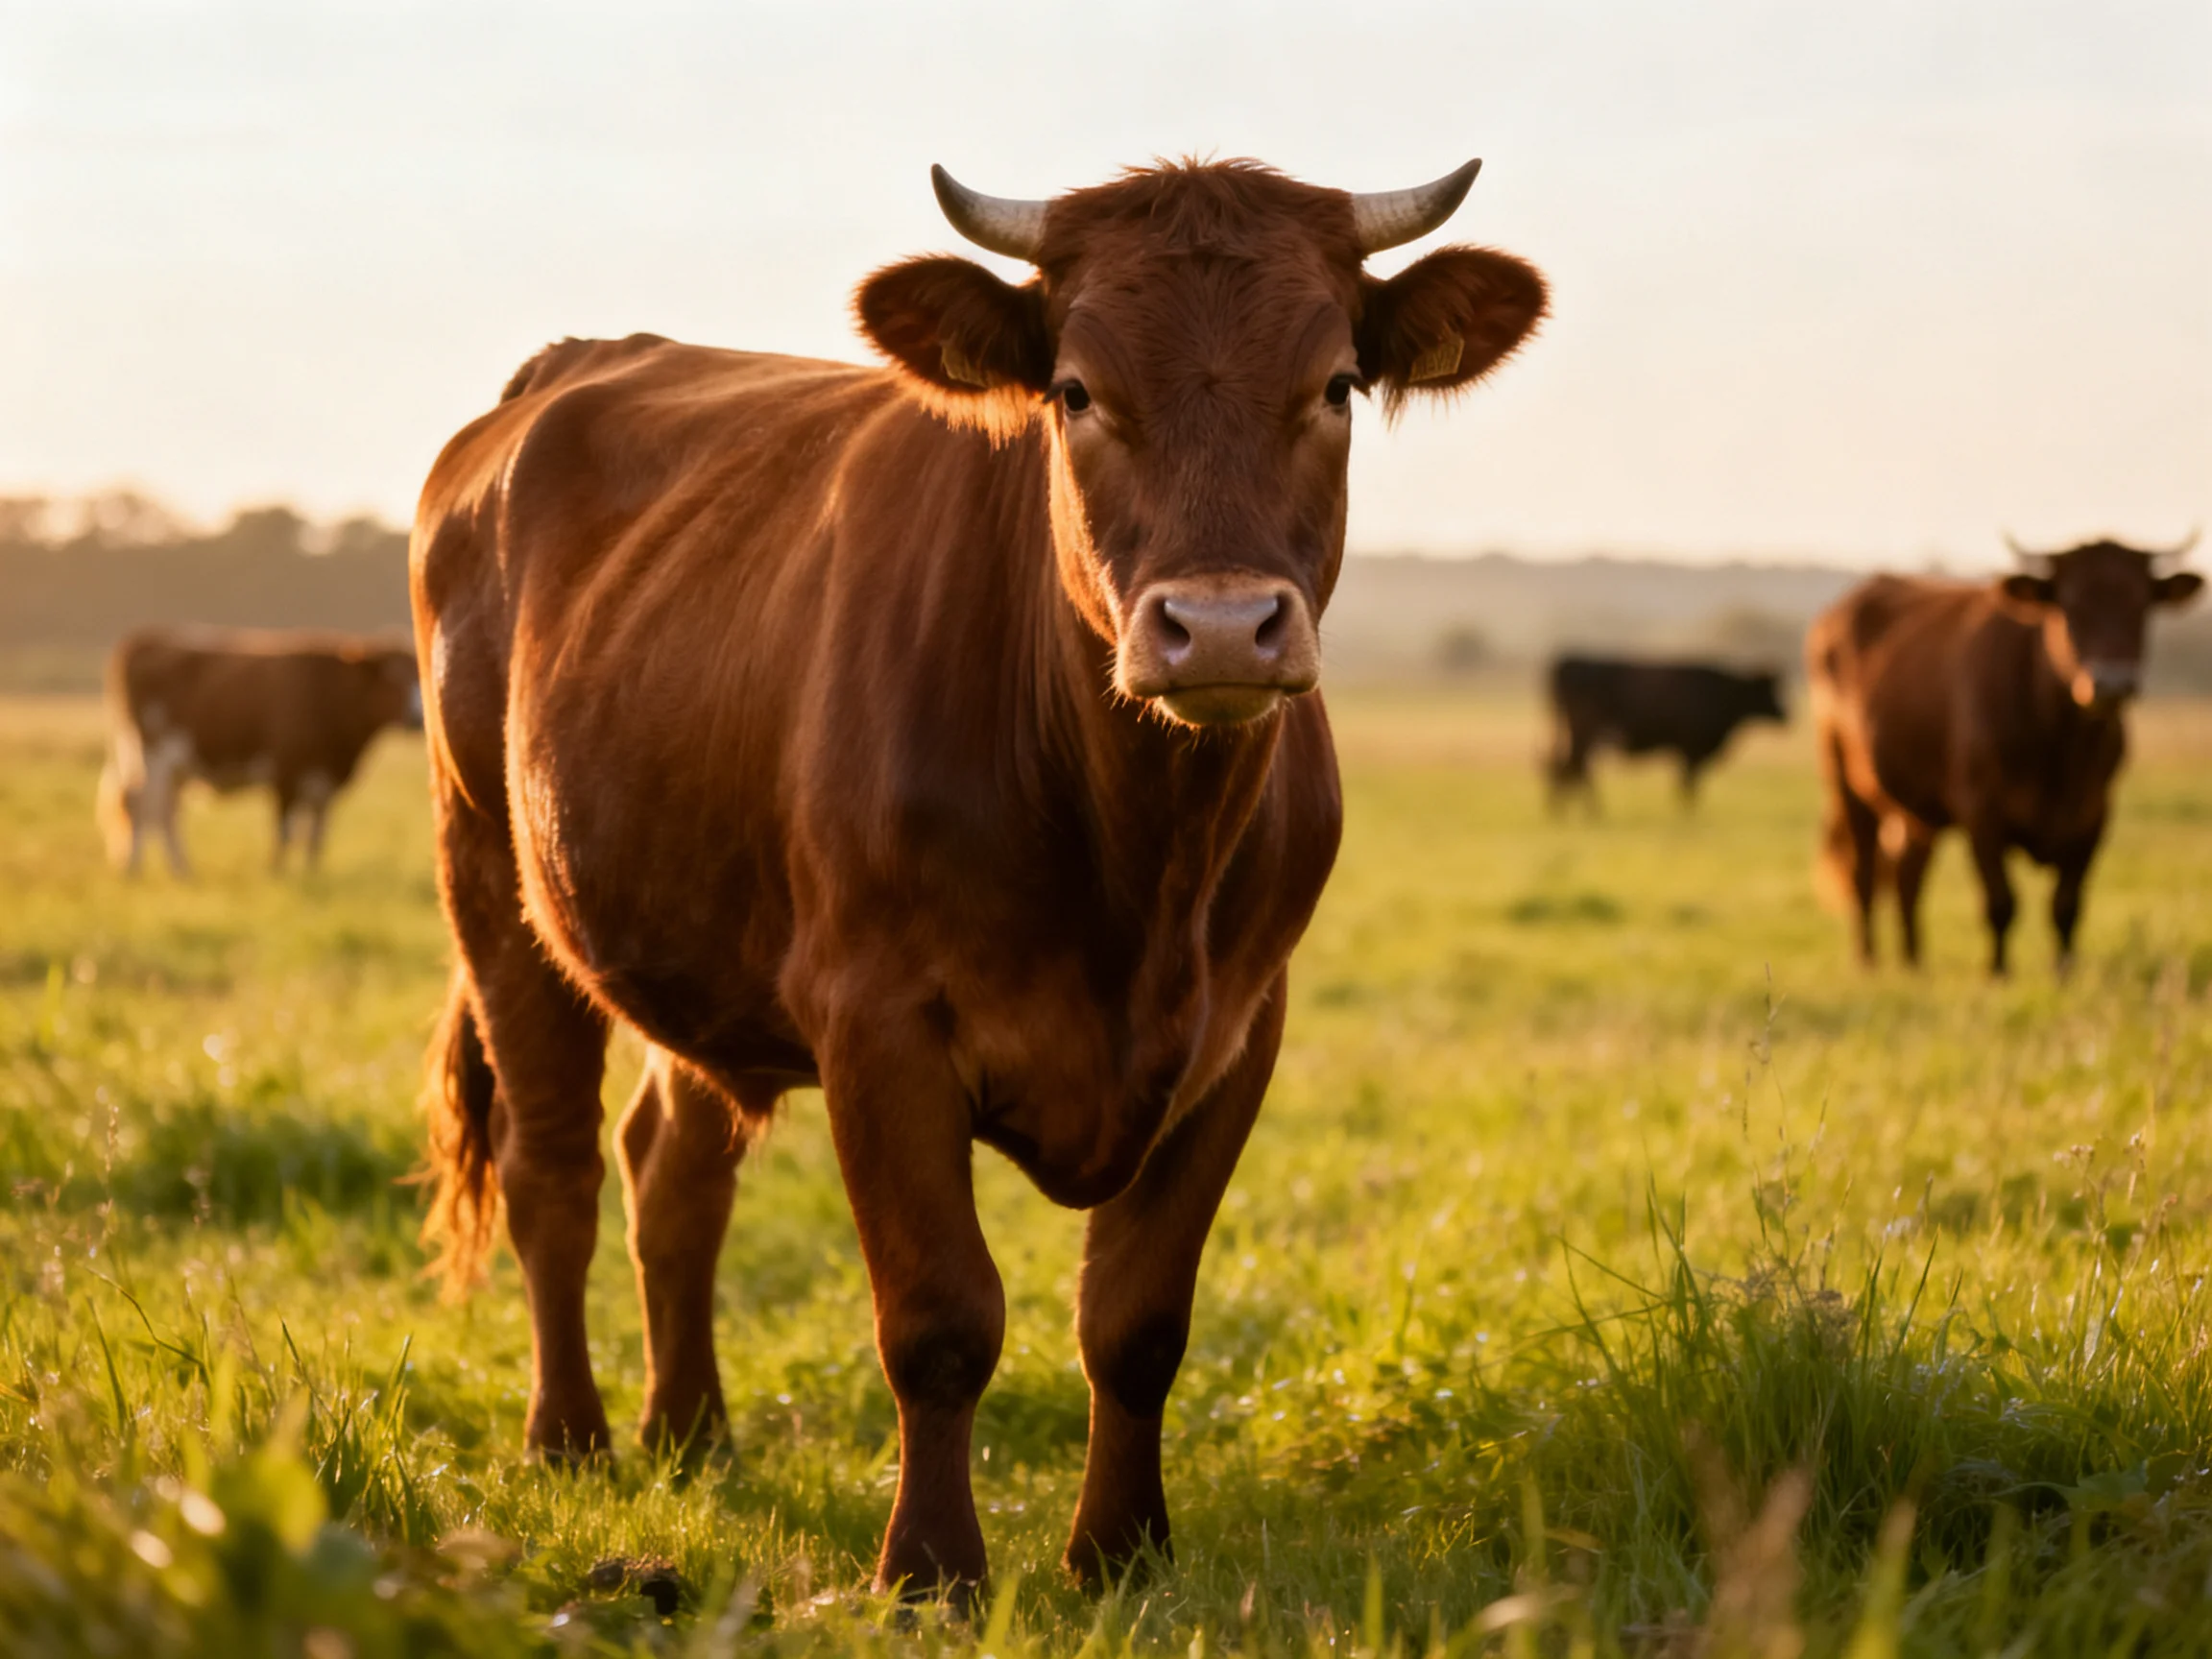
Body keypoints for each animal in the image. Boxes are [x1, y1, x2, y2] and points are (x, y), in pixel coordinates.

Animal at [98, 626, 423, 876]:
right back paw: (134, 869)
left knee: (165, 810)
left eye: (420, 676)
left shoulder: (324, 784)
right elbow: (285, 832)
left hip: (176, 764)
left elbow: (316, 837)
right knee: (140, 804)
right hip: (151, 753)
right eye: (393, 677)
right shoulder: (285, 774)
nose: (418, 718)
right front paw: (277, 875)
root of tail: (144, 638)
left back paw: (182, 872)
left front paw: (312, 875)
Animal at [408, 157, 1546, 1599]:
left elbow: (1137, 1320)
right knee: (550, 1165)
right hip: (491, 874)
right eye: (1076, 391)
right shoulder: (877, 1020)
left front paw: (1120, 1554)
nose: (1222, 627)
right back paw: (571, 1441)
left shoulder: (1241, 1028)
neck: (1136, 863)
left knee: (673, 1168)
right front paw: (931, 1569)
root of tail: (576, 364)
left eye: (1336, 384)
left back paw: (695, 1436)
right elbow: (941, 1316)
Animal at [1545, 654, 1787, 811]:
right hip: (1584, 733)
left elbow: (1686, 783)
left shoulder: (1687, 751)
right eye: (1767, 690)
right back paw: (1587, 811)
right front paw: (1689, 813)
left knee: (1568, 766)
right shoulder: (1691, 749)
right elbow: (1688, 783)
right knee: (1574, 766)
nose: (1786, 715)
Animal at [1807, 535, 2202, 974]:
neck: (2059, 747)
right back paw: (1869, 960)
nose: (2112, 683)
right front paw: (1998, 973)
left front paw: (2064, 971)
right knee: (1864, 872)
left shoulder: (2094, 816)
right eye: (2070, 603)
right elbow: (2001, 902)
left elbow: (2067, 905)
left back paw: (1914, 963)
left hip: (1914, 812)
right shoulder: (1982, 814)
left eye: (2140, 603)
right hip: (1845, 782)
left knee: (1908, 875)